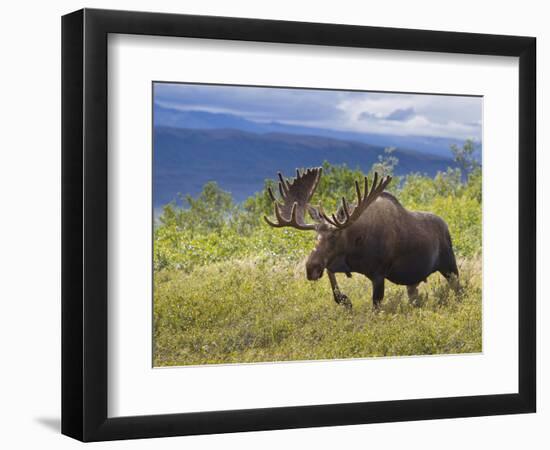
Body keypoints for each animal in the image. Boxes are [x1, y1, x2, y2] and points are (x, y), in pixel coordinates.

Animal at [266, 168, 460, 310]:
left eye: (335, 236)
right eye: (316, 235)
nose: (310, 268)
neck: (356, 247)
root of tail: (446, 227)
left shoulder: (379, 273)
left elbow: (376, 305)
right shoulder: (337, 263)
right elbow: (333, 283)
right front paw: (345, 300)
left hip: (450, 266)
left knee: (459, 290)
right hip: (412, 281)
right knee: (415, 297)